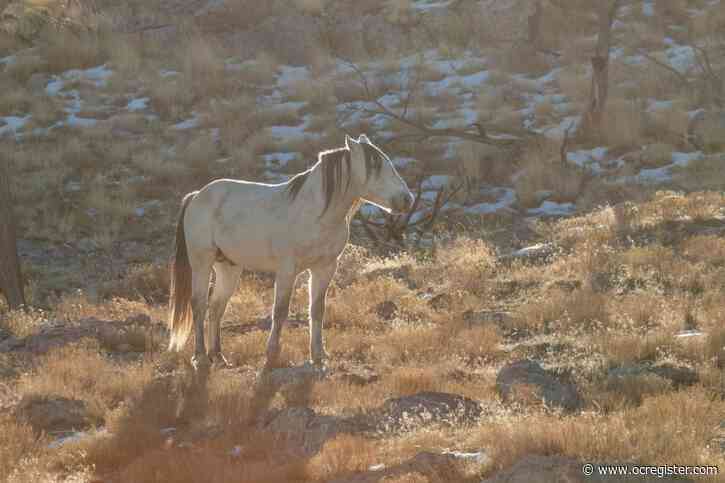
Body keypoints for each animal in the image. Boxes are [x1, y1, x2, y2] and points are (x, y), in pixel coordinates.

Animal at [165, 136, 412, 370]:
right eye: (376, 166)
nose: (406, 199)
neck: (315, 213)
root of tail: (197, 196)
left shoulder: (325, 268)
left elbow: (317, 310)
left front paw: (318, 355)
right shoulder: (287, 270)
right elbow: (281, 311)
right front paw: (272, 355)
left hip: (229, 268)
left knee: (216, 308)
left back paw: (218, 356)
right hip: (202, 264)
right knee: (199, 305)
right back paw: (201, 357)